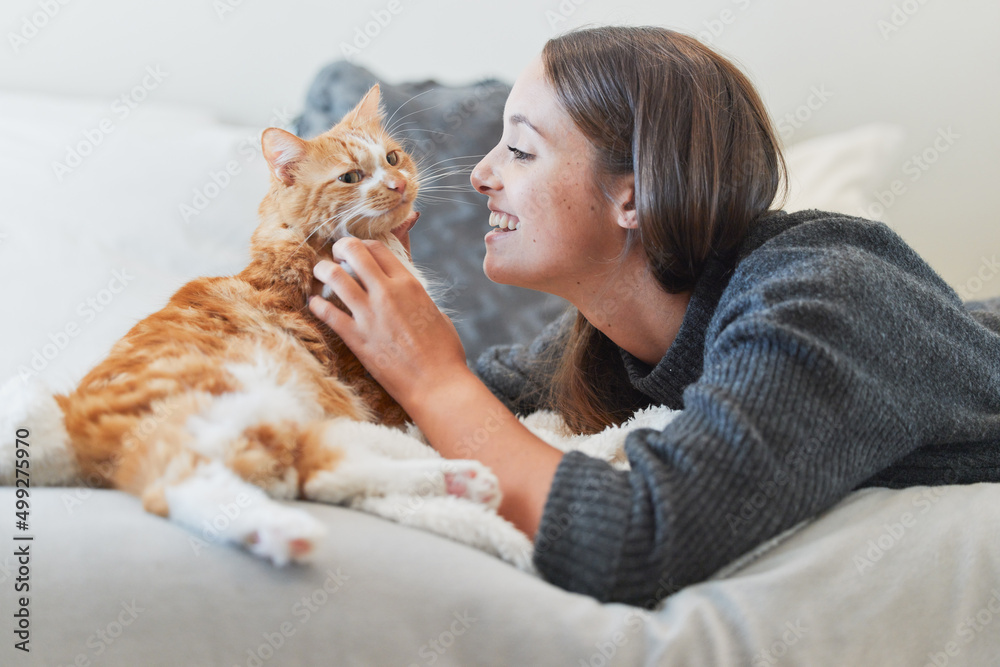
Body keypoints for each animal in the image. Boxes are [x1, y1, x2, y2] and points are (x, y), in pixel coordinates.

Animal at [23, 83, 504, 564]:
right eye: (350, 177)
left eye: (391, 158)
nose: (398, 183)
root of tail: (68, 413)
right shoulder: (378, 389)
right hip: (228, 397)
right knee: (179, 483)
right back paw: (286, 532)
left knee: (317, 473)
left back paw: (462, 481)